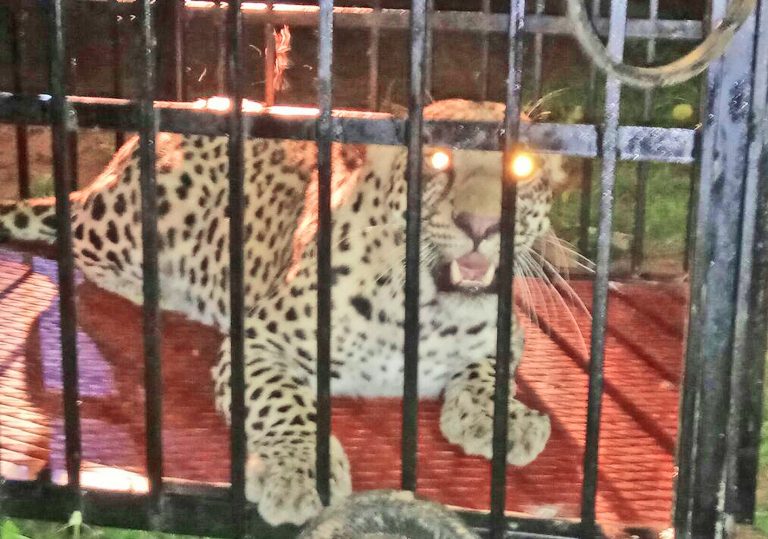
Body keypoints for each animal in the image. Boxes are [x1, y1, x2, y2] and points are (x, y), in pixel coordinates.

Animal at [0, 99, 570, 527]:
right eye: (436, 162)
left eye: (523, 168)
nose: (482, 225)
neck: (428, 309)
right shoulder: (258, 341)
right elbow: (285, 404)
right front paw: (300, 475)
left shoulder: (508, 332)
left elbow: (487, 369)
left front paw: (502, 417)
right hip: (135, 218)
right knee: (73, 227)